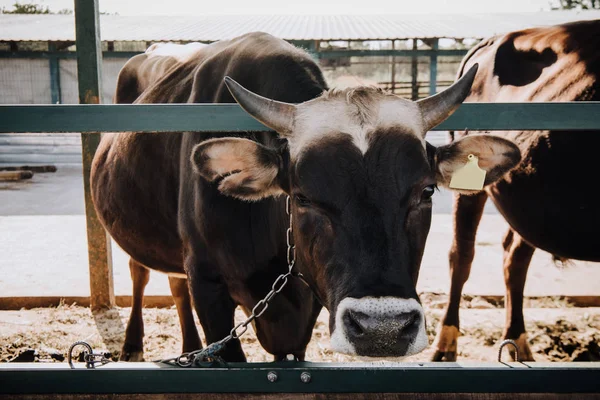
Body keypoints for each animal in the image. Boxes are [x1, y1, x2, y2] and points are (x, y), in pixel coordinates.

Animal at [90, 32, 520, 362]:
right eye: (302, 197)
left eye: (426, 191)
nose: (382, 329)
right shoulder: (207, 285)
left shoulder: (307, 305)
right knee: (141, 273)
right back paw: (133, 346)